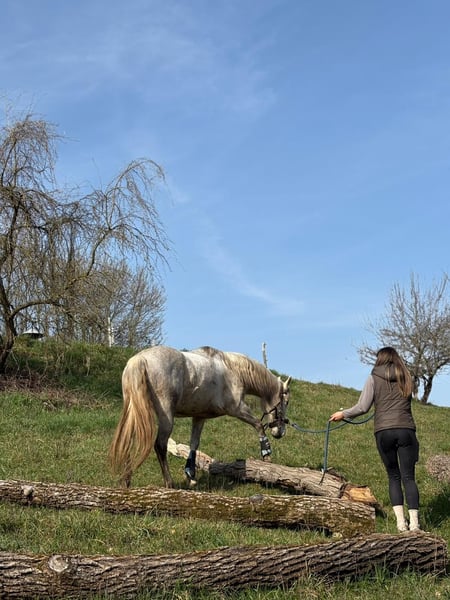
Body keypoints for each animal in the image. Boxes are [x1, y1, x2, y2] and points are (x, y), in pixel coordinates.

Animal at [109, 345, 292, 488]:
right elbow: (258, 425)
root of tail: (140, 359)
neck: (232, 369)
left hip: (135, 412)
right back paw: (169, 483)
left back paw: (126, 480)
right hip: (166, 416)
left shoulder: (199, 417)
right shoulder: (237, 409)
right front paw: (266, 455)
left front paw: (190, 474)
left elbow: (194, 444)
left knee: (128, 441)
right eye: (286, 401)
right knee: (160, 445)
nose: (280, 432)